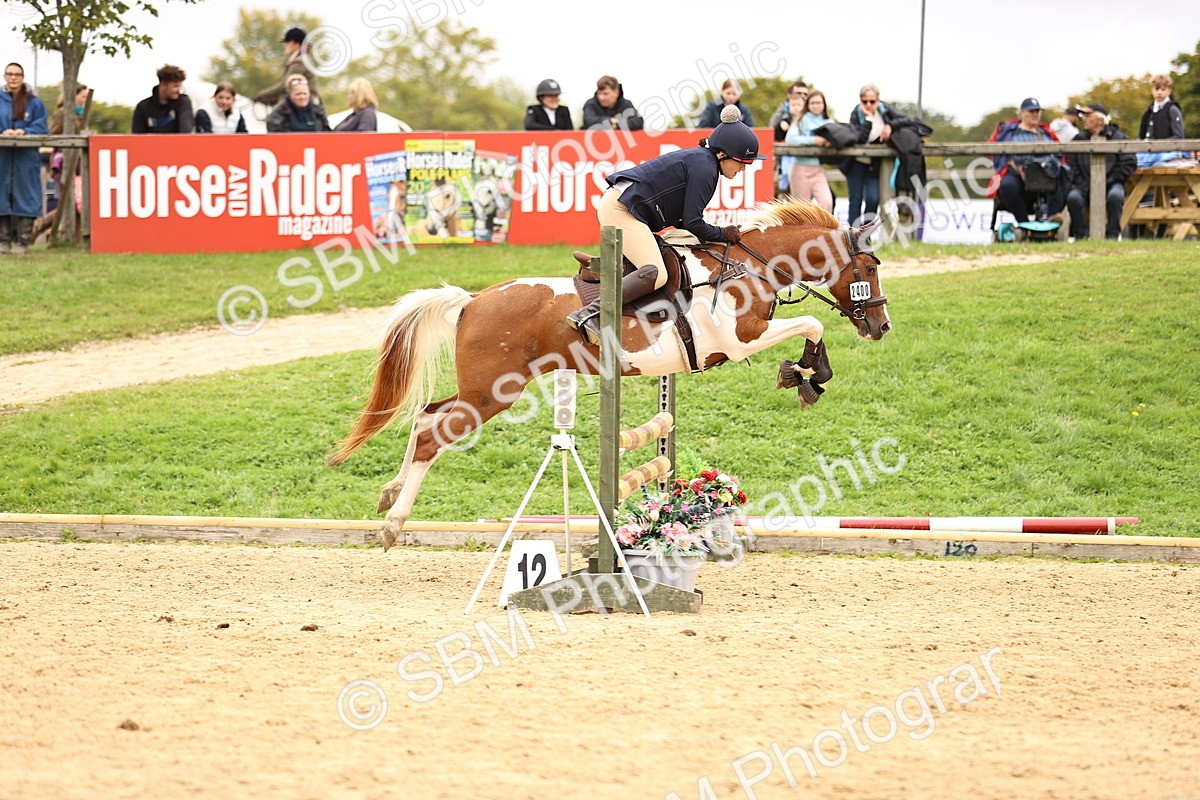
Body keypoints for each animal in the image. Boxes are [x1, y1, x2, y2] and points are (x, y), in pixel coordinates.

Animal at [330, 198, 892, 549]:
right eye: (867, 270)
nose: (881, 327)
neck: (751, 267)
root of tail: (472, 300)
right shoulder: (739, 340)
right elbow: (813, 321)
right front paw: (808, 374)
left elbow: (809, 325)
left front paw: (803, 373)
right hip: (492, 394)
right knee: (433, 436)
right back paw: (394, 525)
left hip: (484, 391)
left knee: (425, 416)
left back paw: (388, 495)